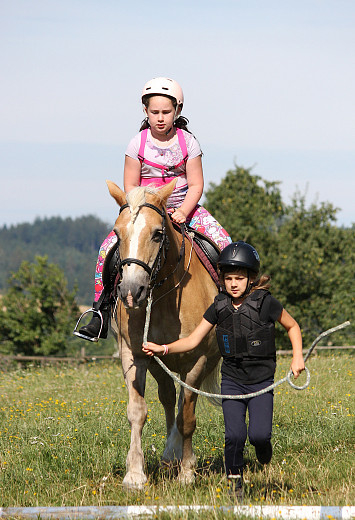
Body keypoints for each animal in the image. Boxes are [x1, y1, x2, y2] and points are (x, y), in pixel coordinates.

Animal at [107, 181, 221, 490]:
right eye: (117, 234)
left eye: (158, 234)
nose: (130, 292)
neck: (165, 296)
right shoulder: (134, 355)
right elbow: (137, 411)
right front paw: (135, 475)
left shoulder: (197, 360)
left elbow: (187, 418)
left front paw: (187, 473)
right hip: (159, 363)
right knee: (169, 398)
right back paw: (170, 456)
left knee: (181, 404)